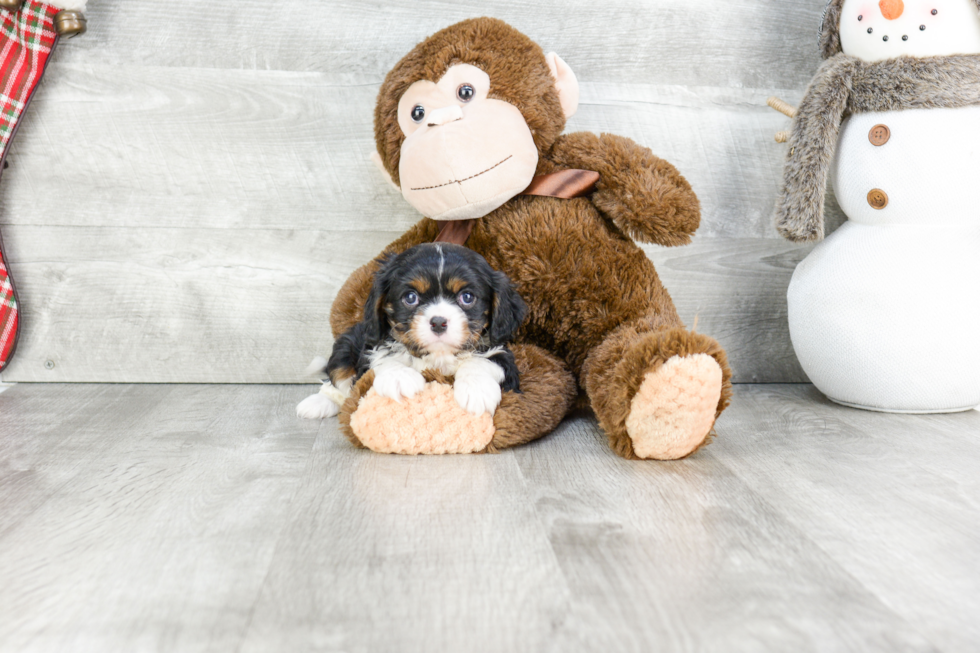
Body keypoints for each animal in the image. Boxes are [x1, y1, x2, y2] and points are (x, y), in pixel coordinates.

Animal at [296, 243, 528, 418]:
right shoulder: (373, 346)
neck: (438, 356)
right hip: (346, 345)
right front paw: (400, 377)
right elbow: (384, 357)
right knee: (337, 378)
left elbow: (483, 361)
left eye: (467, 297)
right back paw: (318, 403)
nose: (438, 322)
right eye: (410, 297)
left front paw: (477, 389)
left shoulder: (503, 355)